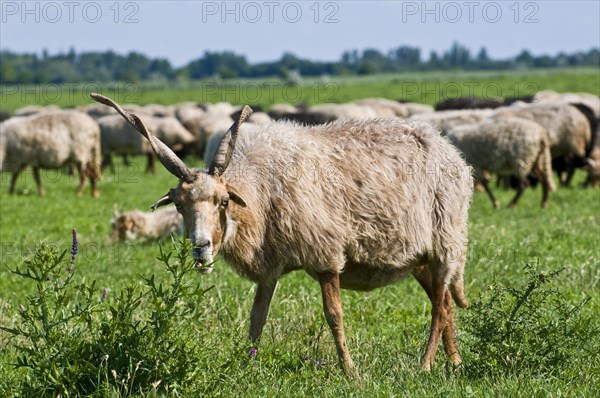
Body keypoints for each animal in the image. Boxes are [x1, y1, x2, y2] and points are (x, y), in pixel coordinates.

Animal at [91, 92, 474, 376]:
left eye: (223, 201)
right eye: (179, 205)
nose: (200, 247)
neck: (261, 194)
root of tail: (450, 150)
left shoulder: (324, 255)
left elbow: (334, 315)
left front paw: (349, 371)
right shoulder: (269, 264)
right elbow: (257, 317)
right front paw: (245, 366)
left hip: (447, 241)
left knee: (440, 308)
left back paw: (425, 365)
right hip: (420, 257)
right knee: (444, 305)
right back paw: (454, 363)